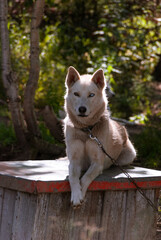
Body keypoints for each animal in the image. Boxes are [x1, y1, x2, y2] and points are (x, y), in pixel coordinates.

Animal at [63, 65, 136, 206]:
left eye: (91, 95)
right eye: (76, 94)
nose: (82, 109)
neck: (87, 130)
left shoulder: (97, 162)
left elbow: (85, 177)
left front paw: (80, 194)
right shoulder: (74, 160)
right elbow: (74, 177)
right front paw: (76, 195)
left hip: (129, 155)